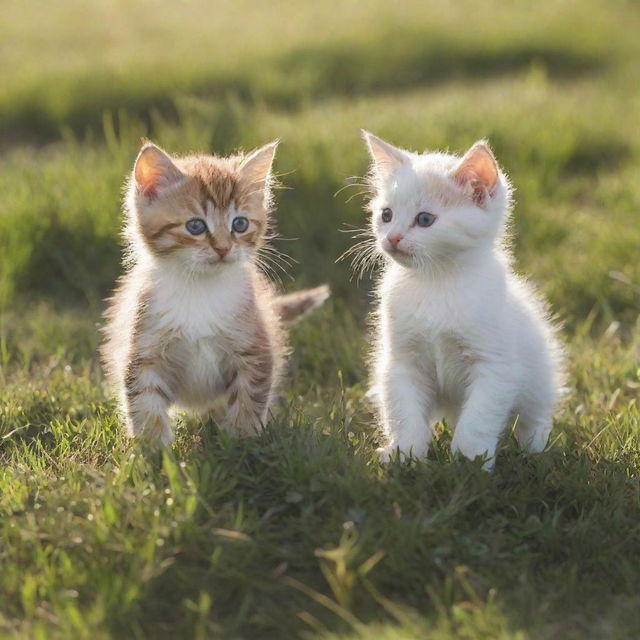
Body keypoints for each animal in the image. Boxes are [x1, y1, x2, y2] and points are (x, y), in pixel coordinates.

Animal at [103, 141, 330, 444]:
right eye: (195, 226)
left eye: (240, 224)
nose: (223, 248)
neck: (200, 288)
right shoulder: (144, 348)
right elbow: (144, 401)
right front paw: (153, 449)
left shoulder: (253, 348)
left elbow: (248, 399)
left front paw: (240, 442)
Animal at [360, 132, 564, 468]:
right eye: (386, 215)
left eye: (425, 219)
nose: (392, 238)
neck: (436, 282)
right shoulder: (402, 362)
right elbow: (404, 411)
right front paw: (405, 452)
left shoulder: (495, 364)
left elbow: (479, 417)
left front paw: (469, 459)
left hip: (539, 376)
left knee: (534, 414)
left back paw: (532, 448)